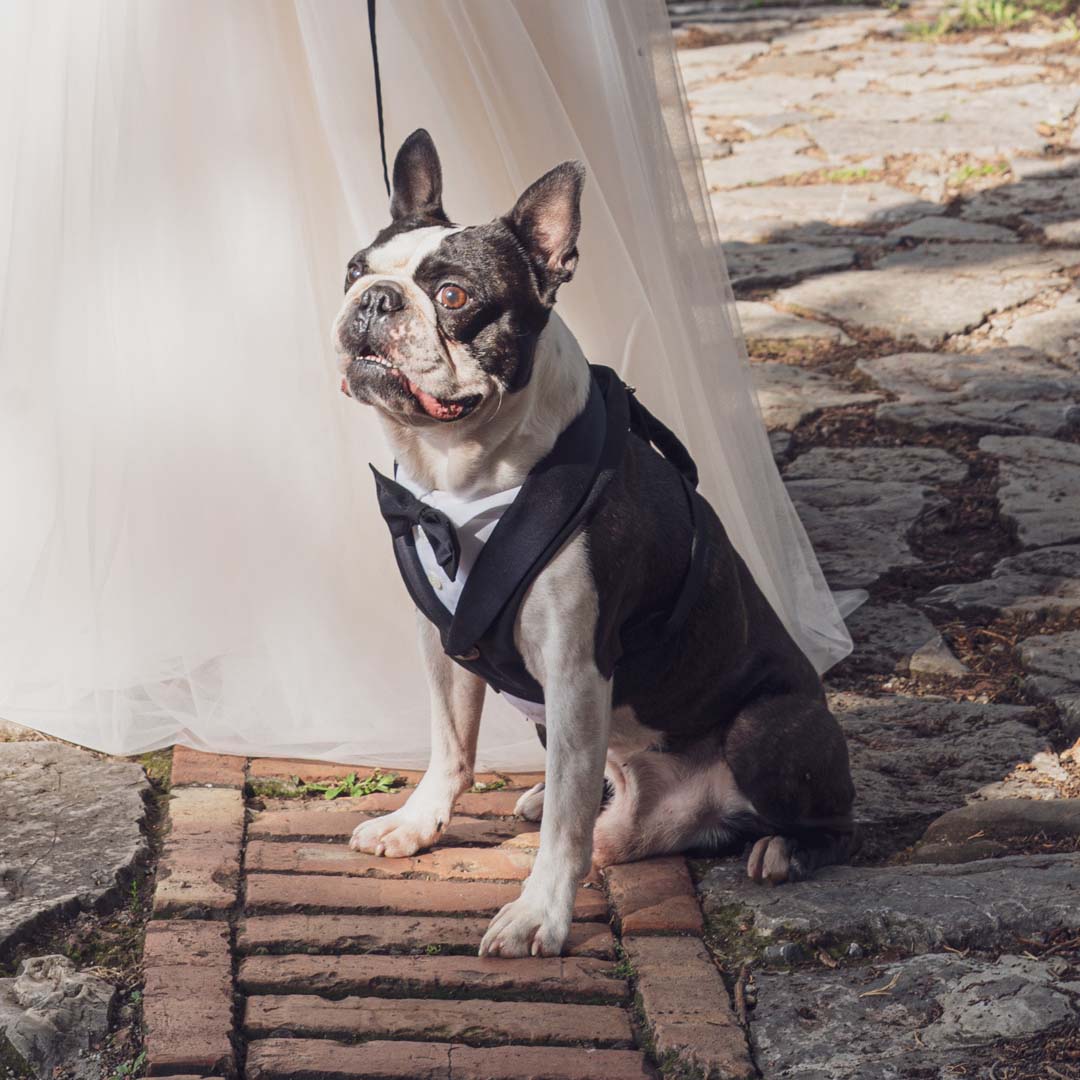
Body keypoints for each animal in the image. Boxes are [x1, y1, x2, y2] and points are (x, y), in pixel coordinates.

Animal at [328, 128, 851, 963]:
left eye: (455, 297)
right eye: (355, 268)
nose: (375, 299)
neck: (463, 474)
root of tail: (673, 815)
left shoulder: (575, 667)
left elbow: (563, 832)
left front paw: (539, 914)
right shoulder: (446, 644)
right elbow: (451, 747)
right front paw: (417, 824)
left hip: (762, 730)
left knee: (832, 819)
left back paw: (785, 848)